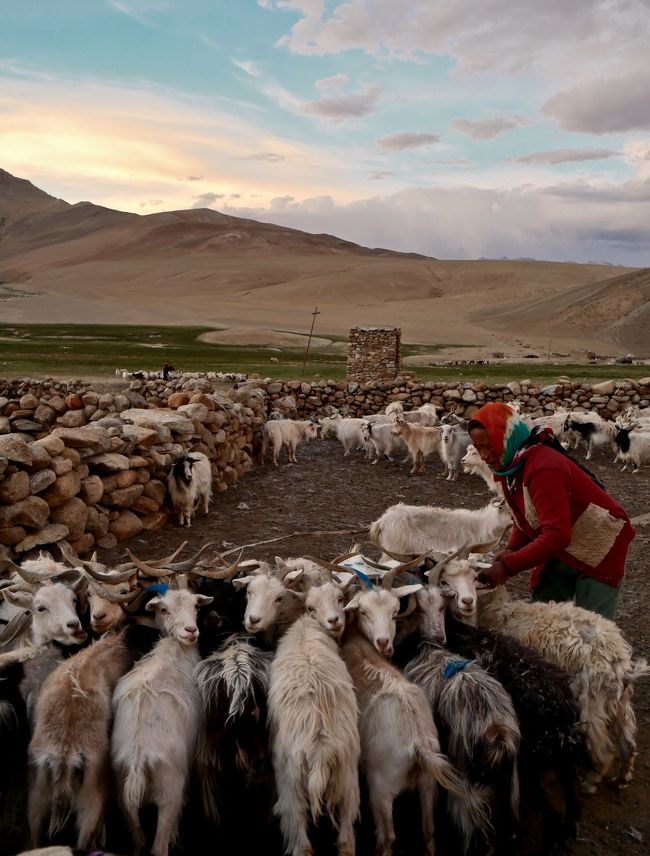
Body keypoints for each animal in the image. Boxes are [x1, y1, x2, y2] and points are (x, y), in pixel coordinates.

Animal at [111, 588, 211, 856]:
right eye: (164, 609)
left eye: (195, 606)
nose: (191, 630)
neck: (172, 655)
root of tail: (137, 760)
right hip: (170, 792)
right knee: (158, 847)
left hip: (124, 798)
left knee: (138, 842)